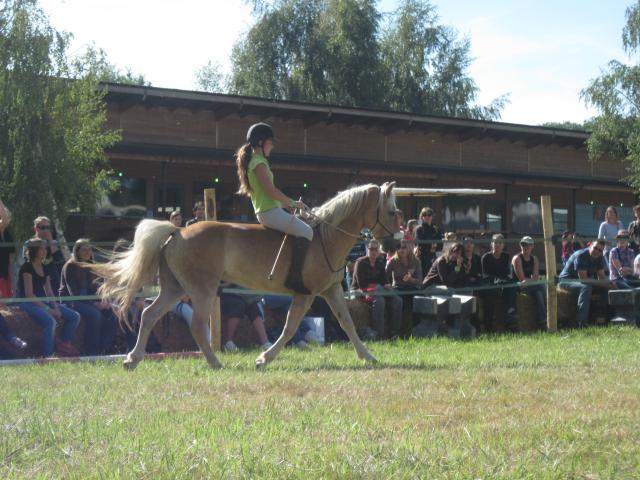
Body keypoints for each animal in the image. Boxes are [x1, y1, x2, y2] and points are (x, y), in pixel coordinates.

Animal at [92, 182, 400, 370]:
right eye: (392, 211)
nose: (394, 246)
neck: (326, 237)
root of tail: (176, 232)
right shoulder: (305, 295)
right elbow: (289, 328)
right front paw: (264, 358)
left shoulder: (331, 290)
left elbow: (348, 323)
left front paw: (368, 355)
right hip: (202, 290)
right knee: (197, 326)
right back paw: (215, 362)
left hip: (174, 288)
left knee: (149, 315)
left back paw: (132, 359)